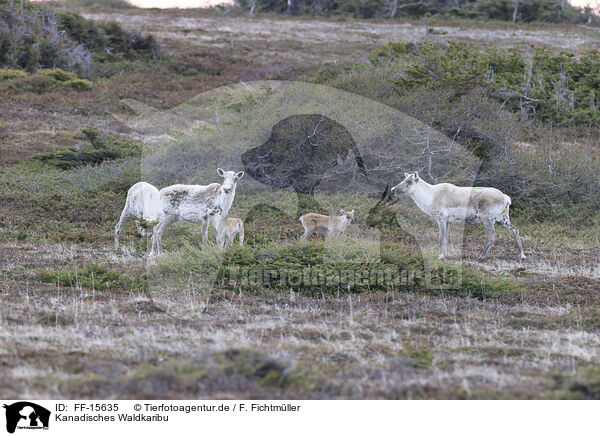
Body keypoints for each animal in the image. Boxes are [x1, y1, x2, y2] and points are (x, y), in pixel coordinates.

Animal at [390, 172, 524, 260]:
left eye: (409, 181)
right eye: (404, 179)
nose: (392, 189)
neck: (429, 196)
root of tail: (506, 198)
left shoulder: (441, 219)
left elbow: (441, 238)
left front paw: (440, 255)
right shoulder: (448, 221)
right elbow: (446, 239)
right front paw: (445, 254)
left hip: (488, 219)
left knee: (492, 237)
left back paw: (482, 255)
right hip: (503, 219)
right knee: (515, 231)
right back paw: (522, 255)